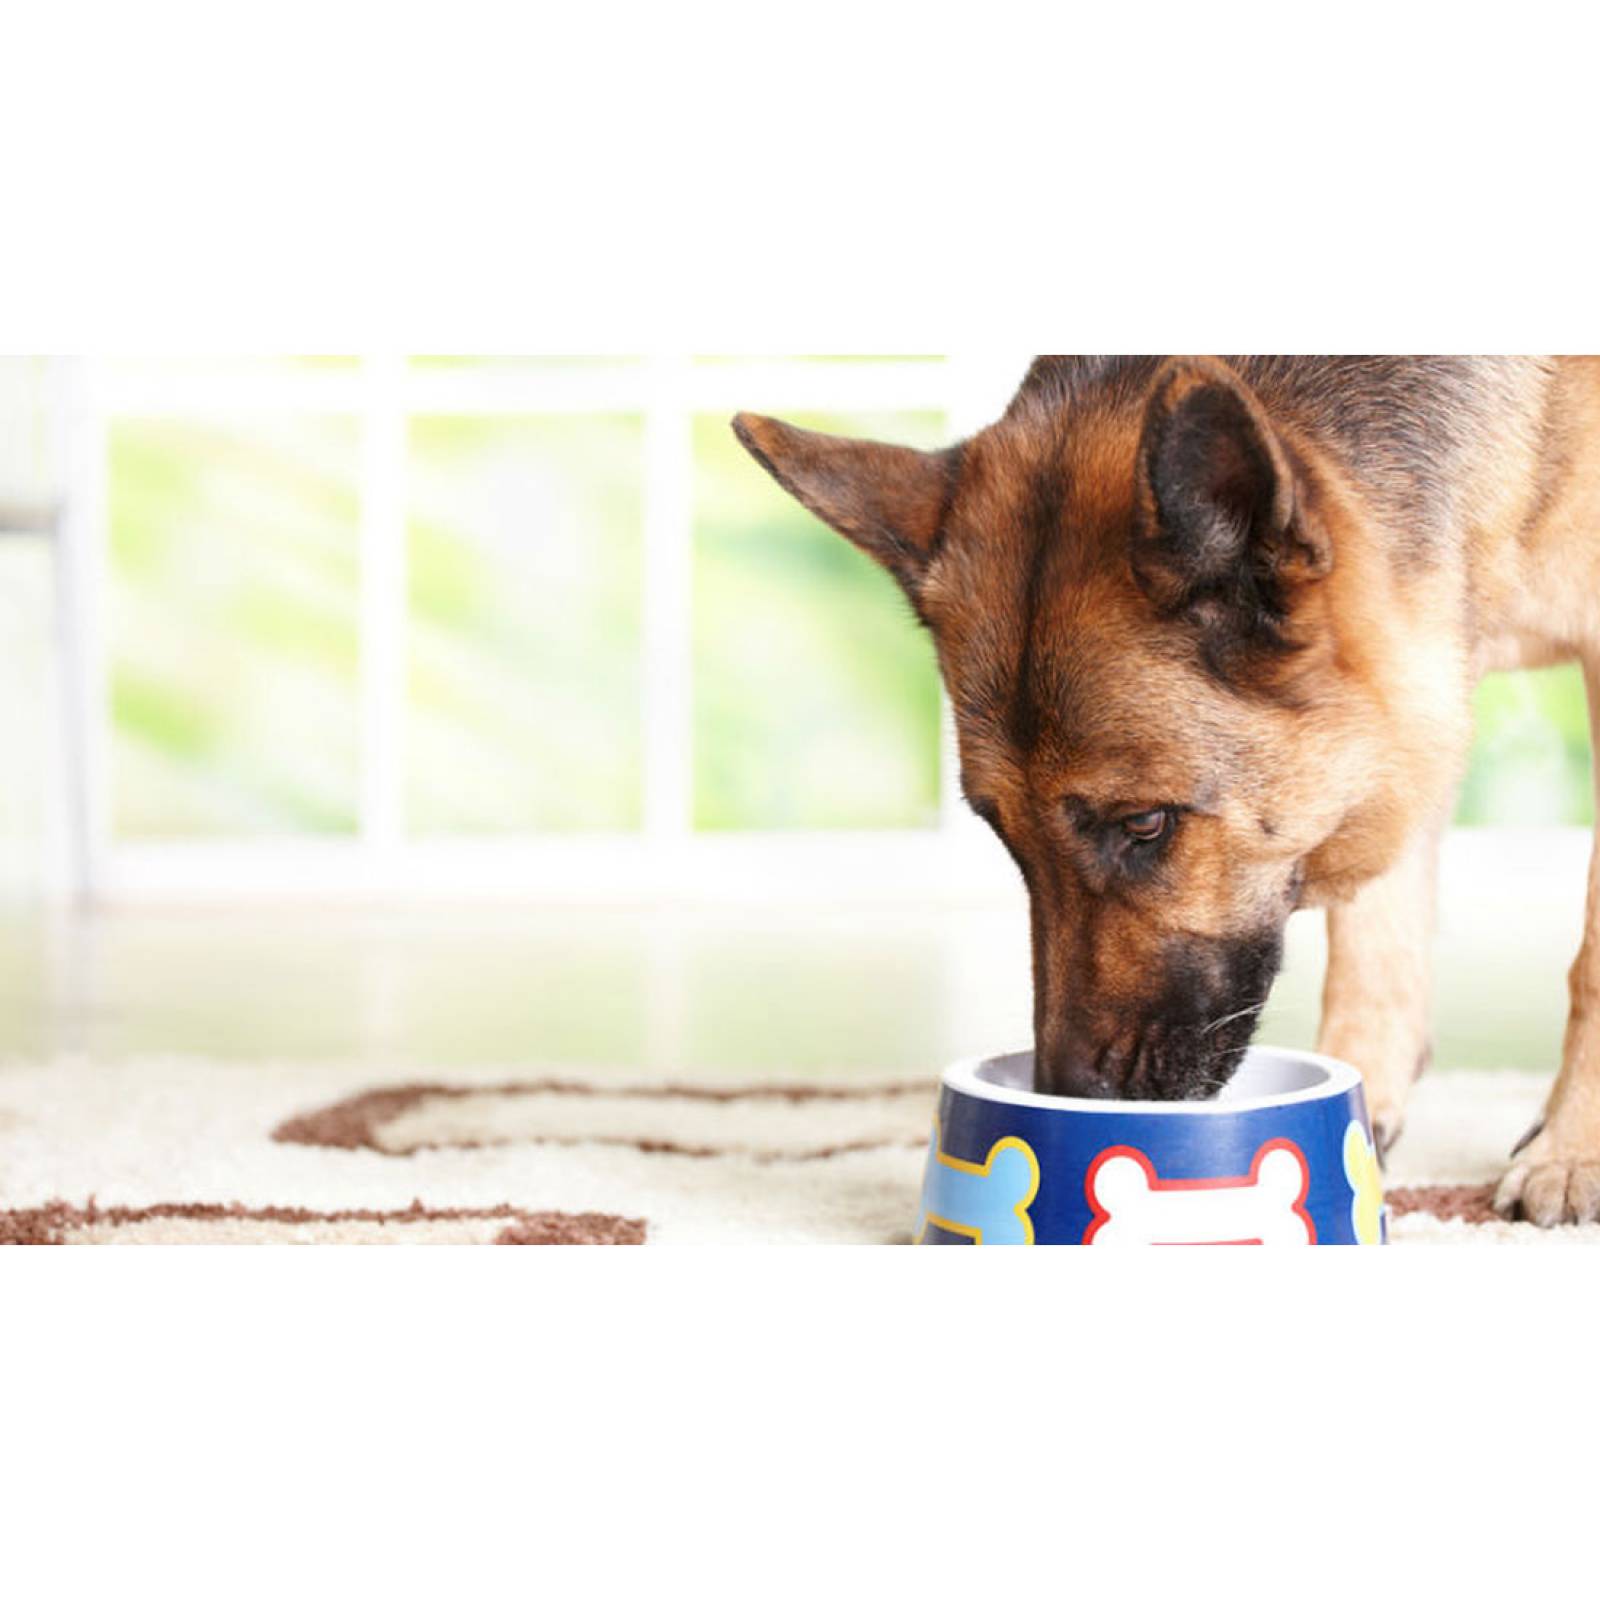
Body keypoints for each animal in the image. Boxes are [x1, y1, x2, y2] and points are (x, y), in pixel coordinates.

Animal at [732, 360, 1600, 1222]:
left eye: (1145, 824)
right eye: (1003, 833)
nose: (1070, 1096)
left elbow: (1587, 961)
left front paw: (1571, 1154)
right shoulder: (1411, 687)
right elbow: (1375, 932)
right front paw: (1363, 1102)